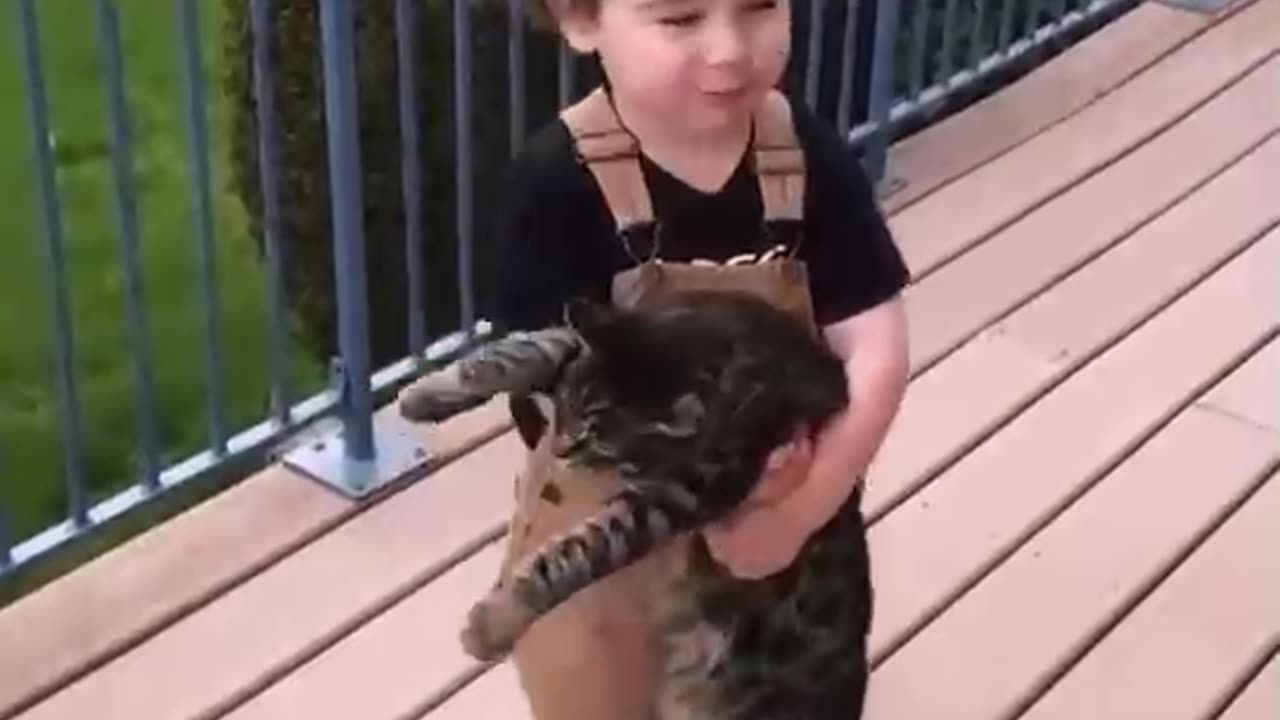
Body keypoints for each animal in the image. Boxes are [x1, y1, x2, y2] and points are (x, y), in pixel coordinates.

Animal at [399, 288, 875, 712]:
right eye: (564, 408)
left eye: (590, 439)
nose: (559, 449)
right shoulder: (605, 331)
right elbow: (525, 351)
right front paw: (427, 395)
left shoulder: (679, 496)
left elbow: (575, 555)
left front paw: (493, 623)